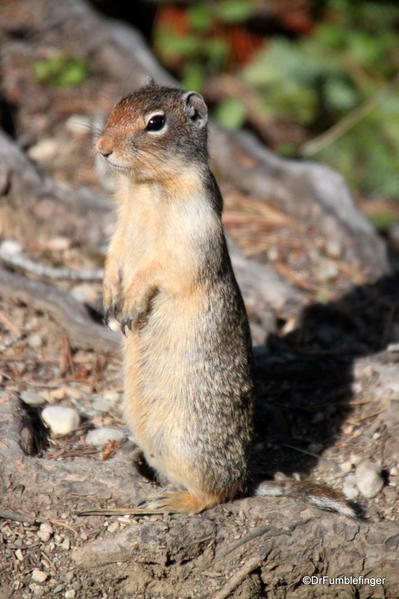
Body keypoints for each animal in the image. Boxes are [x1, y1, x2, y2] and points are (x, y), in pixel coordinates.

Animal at [96, 83, 360, 520]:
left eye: (155, 123)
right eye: (115, 107)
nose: (101, 148)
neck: (146, 186)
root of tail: (248, 478)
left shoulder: (189, 234)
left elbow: (158, 270)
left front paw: (130, 304)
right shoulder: (119, 228)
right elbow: (113, 257)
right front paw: (109, 306)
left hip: (190, 440)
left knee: (218, 494)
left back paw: (175, 500)